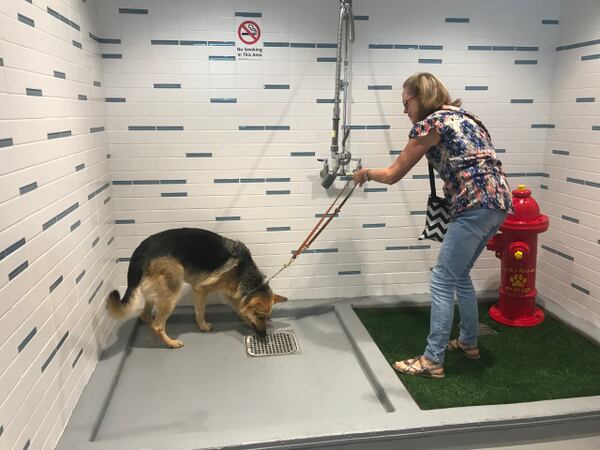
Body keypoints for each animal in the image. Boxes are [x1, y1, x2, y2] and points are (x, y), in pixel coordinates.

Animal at [106, 229, 288, 348]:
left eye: (267, 317)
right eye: (261, 316)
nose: (264, 335)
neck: (243, 272)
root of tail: (141, 251)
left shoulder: (231, 294)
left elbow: (240, 309)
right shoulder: (200, 290)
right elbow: (201, 312)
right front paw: (204, 327)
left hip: (155, 294)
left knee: (146, 316)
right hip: (172, 293)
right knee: (157, 325)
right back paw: (171, 342)